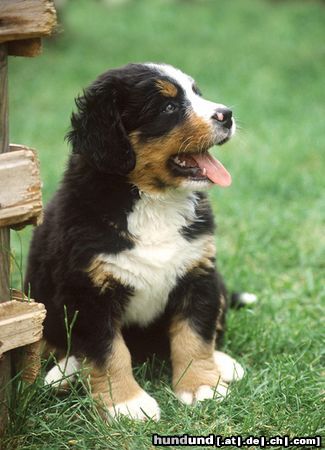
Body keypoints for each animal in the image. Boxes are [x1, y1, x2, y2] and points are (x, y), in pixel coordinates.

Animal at [26, 63, 248, 422]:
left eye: (196, 93)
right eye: (168, 107)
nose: (226, 114)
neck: (154, 201)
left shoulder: (198, 273)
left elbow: (194, 334)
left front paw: (201, 386)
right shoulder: (88, 289)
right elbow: (108, 351)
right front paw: (127, 404)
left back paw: (223, 362)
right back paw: (63, 374)